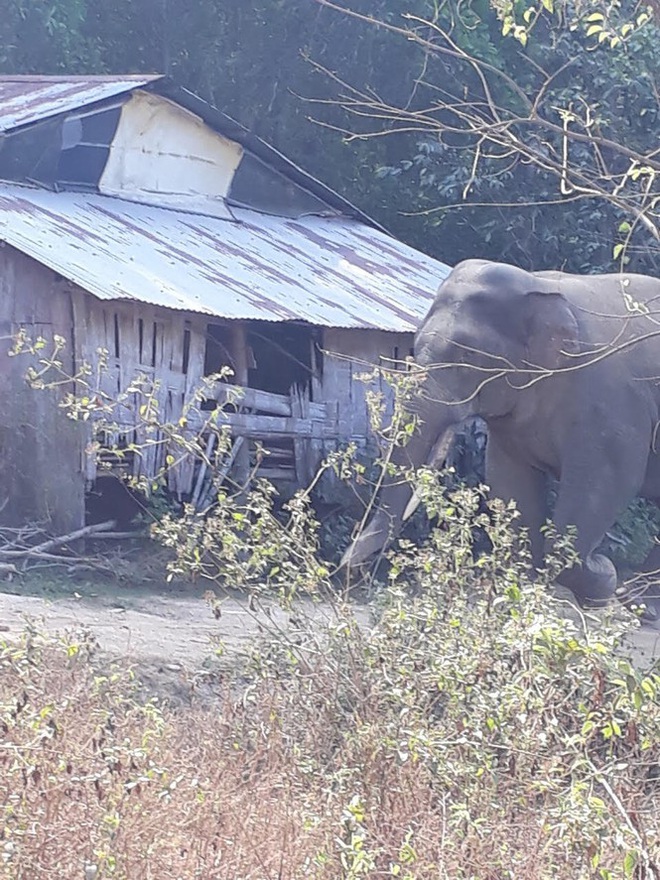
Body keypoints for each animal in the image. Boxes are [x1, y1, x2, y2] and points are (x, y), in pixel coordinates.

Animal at [342, 260, 660, 620]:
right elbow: (509, 482)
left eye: (465, 358)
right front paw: (531, 588)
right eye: (414, 347)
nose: (347, 566)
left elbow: (603, 485)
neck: (537, 285)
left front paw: (602, 578)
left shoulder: (612, 405)